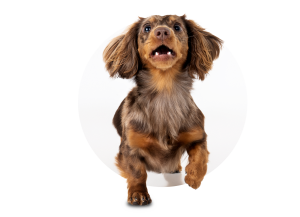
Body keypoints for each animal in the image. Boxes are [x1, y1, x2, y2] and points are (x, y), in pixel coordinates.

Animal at [103, 13, 223, 205]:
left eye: (177, 27)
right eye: (146, 28)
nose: (162, 32)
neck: (165, 93)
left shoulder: (197, 134)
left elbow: (201, 155)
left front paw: (194, 177)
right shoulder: (129, 146)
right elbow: (137, 171)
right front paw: (138, 193)